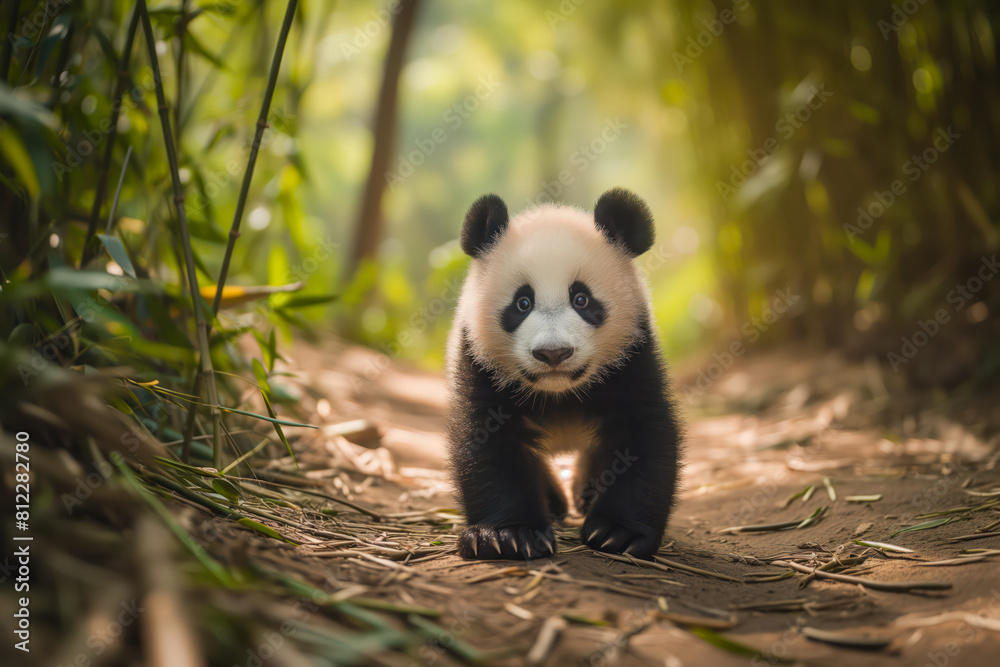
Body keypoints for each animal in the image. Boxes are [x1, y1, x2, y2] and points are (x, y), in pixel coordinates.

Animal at [446, 188, 682, 560]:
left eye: (582, 299)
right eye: (522, 303)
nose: (553, 353)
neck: (558, 392)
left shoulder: (632, 356)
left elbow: (644, 432)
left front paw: (618, 533)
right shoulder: (479, 362)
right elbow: (486, 441)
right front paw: (508, 535)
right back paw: (554, 504)